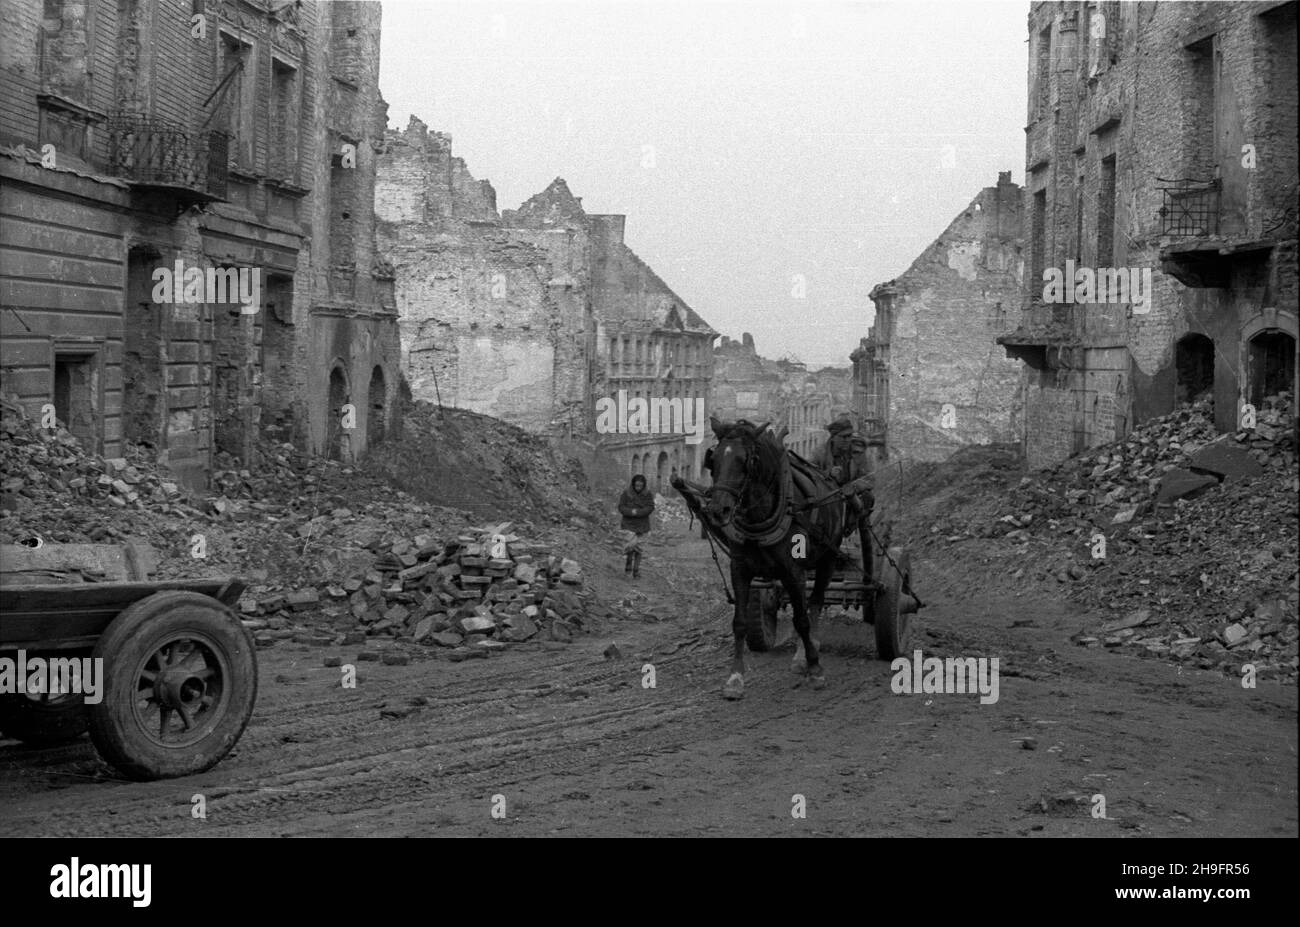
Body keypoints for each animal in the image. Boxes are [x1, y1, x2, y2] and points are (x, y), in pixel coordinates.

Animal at [696, 416, 857, 696]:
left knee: (815, 603)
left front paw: (815, 668)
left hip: (827, 558)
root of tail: (831, 481)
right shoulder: (740, 569)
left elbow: (802, 619)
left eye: (745, 461)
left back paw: (806, 652)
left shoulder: (794, 571)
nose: (718, 509)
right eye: (713, 458)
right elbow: (739, 622)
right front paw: (735, 678)